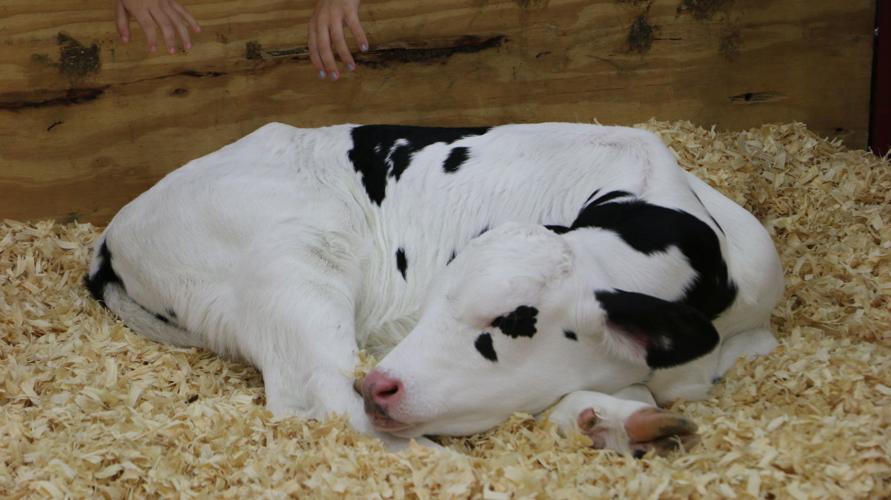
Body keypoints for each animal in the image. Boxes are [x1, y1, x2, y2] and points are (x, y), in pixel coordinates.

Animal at [86, 122, 784, 456]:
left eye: (511, 321)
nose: (386, 385)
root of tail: (113, 234)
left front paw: (613, 421)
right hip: (297, 266)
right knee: (325, 395)